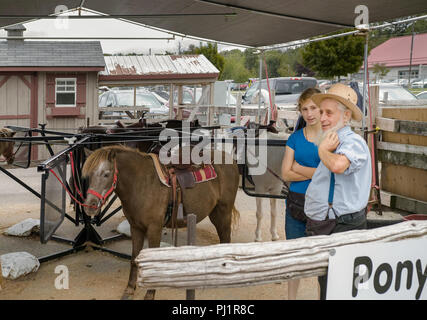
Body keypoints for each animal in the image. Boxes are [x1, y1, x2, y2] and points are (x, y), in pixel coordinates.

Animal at [82, 145, 239, 300]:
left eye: (106, 174)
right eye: (89, 175)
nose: (90, 206)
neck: (140, 183)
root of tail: (230, 160)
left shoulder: (154, 228)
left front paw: (150, 294)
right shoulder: (136, 227)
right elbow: (134, 258)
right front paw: (129, 290)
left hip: (223, 211)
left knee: (225, 238)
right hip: (215, 213)